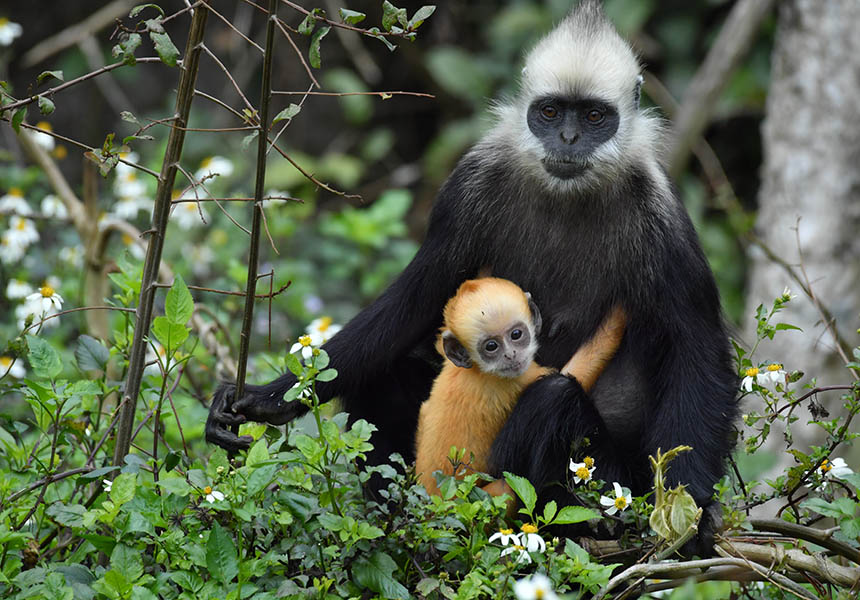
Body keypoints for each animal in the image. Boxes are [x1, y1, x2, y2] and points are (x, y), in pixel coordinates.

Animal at [414, 278, 624, 494]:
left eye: (516, 334)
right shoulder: (515, 379)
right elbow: (574, 372)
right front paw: (617, 317)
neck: (476, 370)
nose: (510, 355)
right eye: (491, 346)